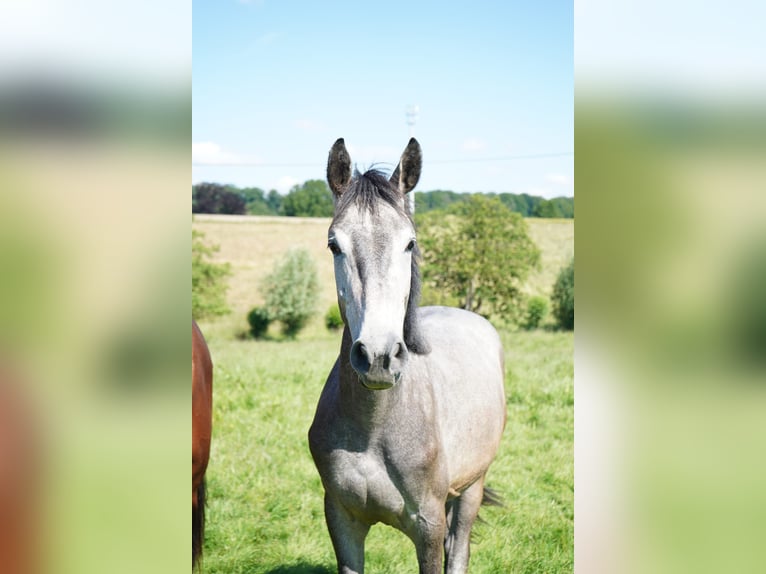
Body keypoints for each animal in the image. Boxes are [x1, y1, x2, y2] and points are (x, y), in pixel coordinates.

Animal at [308, 140, 508, 574]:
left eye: (409, 243)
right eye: (334, 244)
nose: (378, 356)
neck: (374, 427)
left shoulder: (428, 526)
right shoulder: (341, 520)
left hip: (472, 488)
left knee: (459, 550)